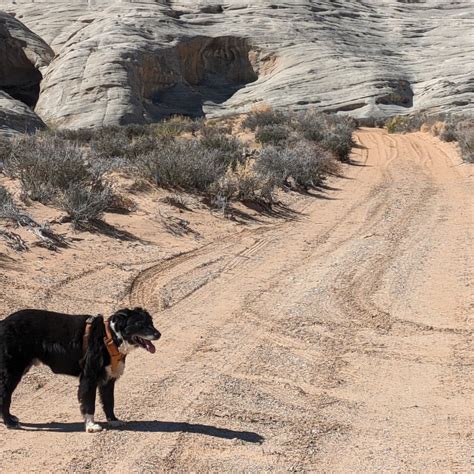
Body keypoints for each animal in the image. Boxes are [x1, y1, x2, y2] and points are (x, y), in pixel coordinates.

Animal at [0, 308, 161, 434]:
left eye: (151, 322)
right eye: (139, 324)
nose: (158, 334)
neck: (110, 338)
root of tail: (3, 322)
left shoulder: (108, 380)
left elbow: (109, 402)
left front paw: (113, 420)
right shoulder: (89, 378)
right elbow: (89, 404)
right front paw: (91, 426)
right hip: (13, 370)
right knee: (4, 396)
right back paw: (9, 422)